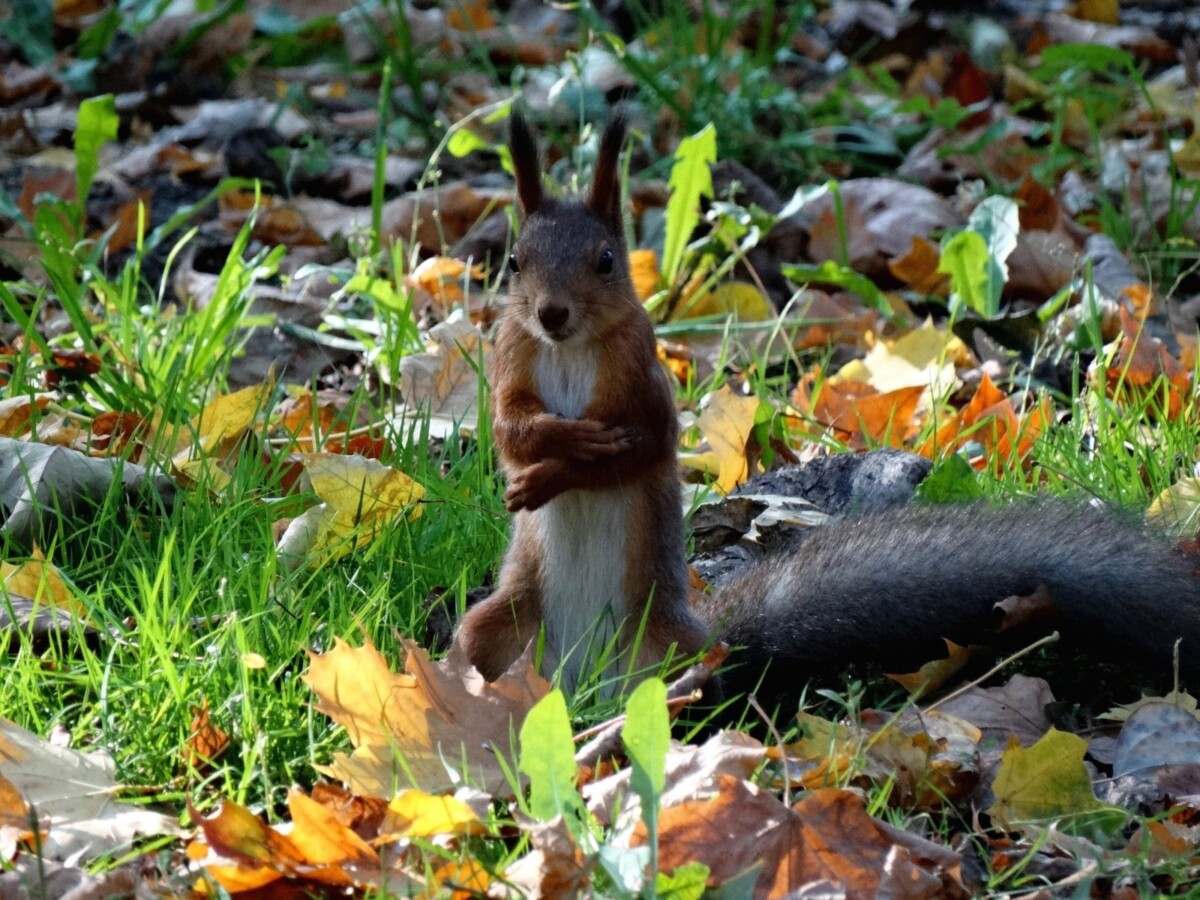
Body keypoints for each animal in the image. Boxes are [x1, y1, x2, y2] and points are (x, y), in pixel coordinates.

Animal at [448, 111, 1200, 705]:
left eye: (607, 260)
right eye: (514, 262)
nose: (552, 313)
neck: (571, 349)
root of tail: (581, 689)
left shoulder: (644, 378)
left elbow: (643, 446)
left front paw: (568, 462)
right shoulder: (513, 354)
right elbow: (510, 434)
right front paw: (545, 457)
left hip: (667, 651)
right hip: (503, 620)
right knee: (485, 650)